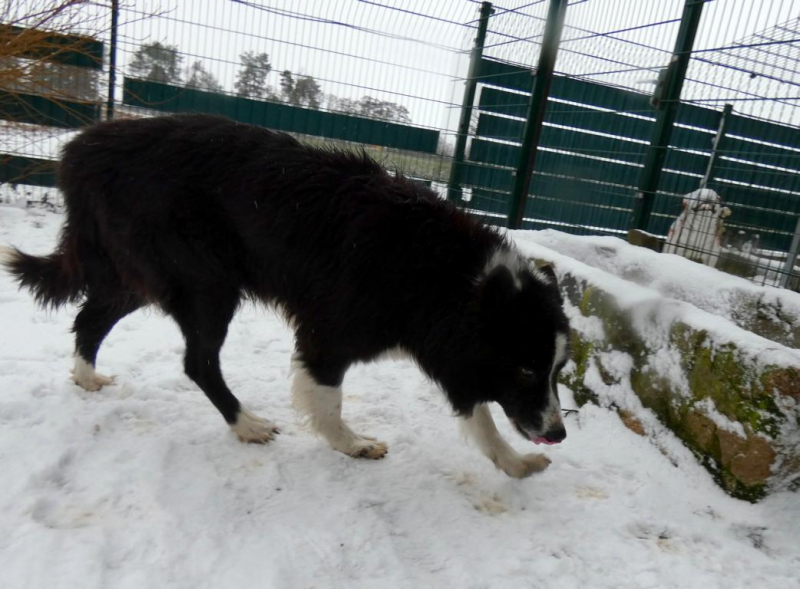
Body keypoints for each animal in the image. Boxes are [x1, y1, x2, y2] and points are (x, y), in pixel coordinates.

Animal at [1, 114, 570, 478]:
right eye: (526, 369)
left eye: (557, 372)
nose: (560, 434)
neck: (450, 277)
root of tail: (83, 149)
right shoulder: (329, 337)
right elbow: (329, 402)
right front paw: (352, 445)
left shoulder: (449, 351)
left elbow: (481, 417)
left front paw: (515, 465)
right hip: (207, 283)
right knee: (197, 362)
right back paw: (245, 424)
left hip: (143, 276)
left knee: (91, 318)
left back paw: (86, 376)